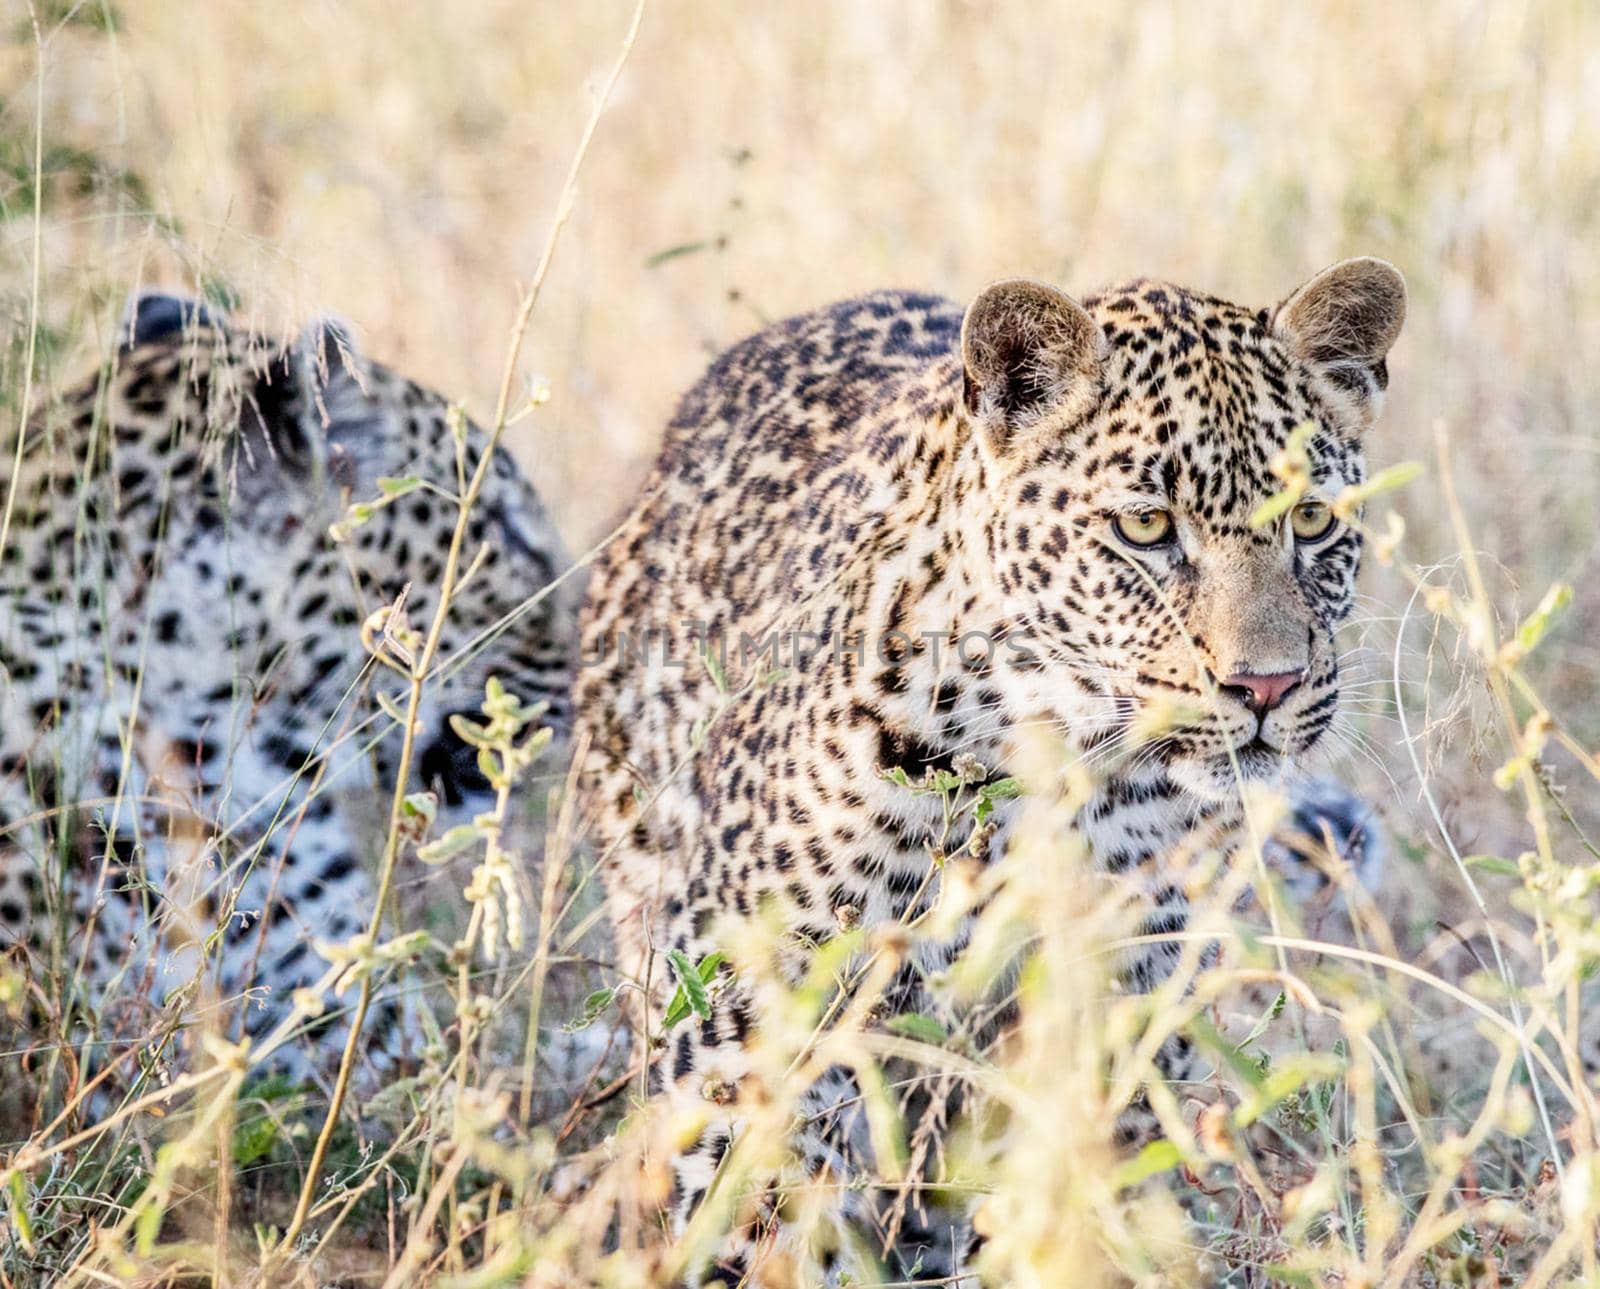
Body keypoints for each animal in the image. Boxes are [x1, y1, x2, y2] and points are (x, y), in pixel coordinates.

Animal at [576, 260, 1401, 1279]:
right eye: (1146, 526)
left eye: (1313, 519)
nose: (1267, 684)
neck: (1065, 759)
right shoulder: (761, 1003)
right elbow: (752, 1201)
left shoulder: (1123, 988)